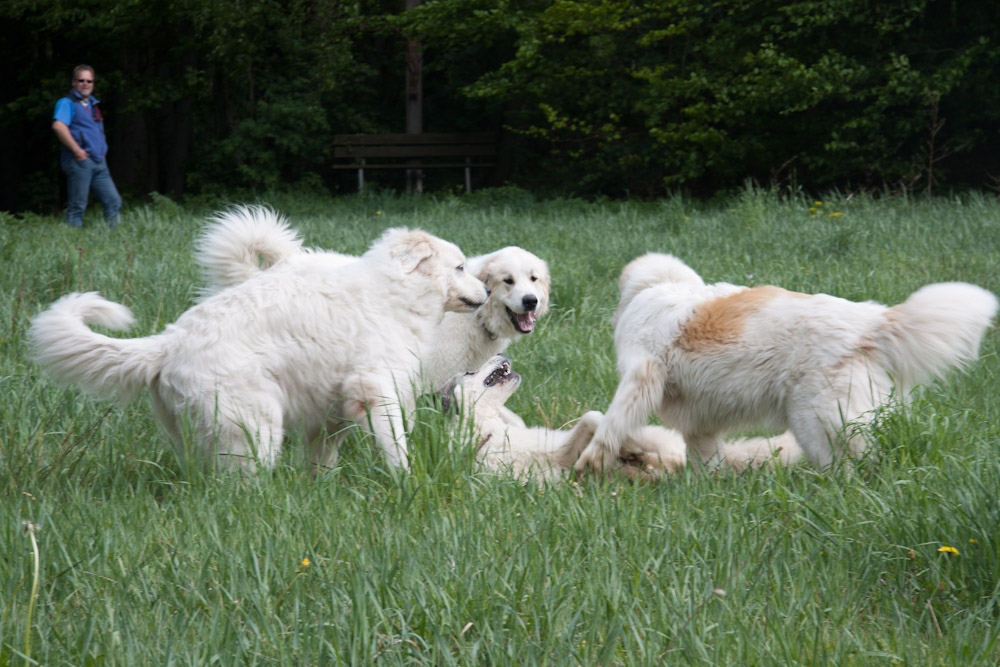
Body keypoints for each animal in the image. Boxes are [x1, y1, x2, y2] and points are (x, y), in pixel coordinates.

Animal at [33, 227, 494, 472]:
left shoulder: (330, 412)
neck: (394, 292)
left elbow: (322, 459)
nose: (489, 291)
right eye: (459, 267)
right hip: (255, 427)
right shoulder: (375, 390)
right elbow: (396, 447)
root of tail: (168, 341)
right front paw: (407, 480)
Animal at [576, 252, 996, 474]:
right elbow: (703, 454)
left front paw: (589, 461)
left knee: (845, 469)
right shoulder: (701, 421)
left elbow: (610, 423)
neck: (654, 290)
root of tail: (872, 322)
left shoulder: (640, 375)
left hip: (814, 422)